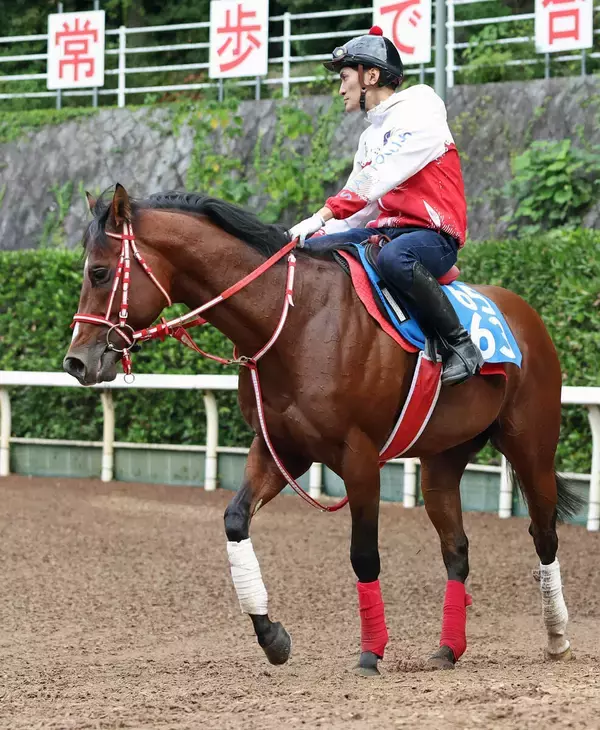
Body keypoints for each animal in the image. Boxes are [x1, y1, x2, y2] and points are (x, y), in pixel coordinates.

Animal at [64, 184, 580, 675]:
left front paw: (371, 654)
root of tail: (525, 313)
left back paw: (557, 637)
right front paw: (272, 637)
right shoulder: (279, 449)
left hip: (531, 448)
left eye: (100, 273)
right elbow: (235, 520)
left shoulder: (360, 458)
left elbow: (363, 555)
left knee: (544, 535)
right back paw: (448, 649)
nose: (77, 362)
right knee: (456, 548)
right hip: (442, 460)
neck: (297, 319)